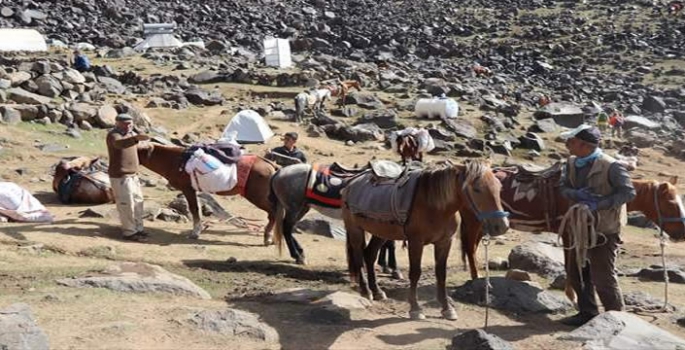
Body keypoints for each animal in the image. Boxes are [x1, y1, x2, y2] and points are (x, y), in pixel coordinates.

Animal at [136, 141, 278, 242]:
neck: (174, 161)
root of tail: (270, 165)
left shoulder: (188, 189)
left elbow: (194, 209)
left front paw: (195, 233)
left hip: (257, 197)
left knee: (273, 213)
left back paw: (268, 237)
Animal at [342, 160, 508, 322]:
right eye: (476, 189)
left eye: (499, 187)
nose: (502, 226)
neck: (435, 206)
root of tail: (350, 183)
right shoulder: (416, 242)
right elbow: (415, 273)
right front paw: (415, 309)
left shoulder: (444, 242)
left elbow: (441, 274)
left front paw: (447, 308)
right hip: (355, 230)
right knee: (359, 257)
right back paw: (366, 291)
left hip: (381, 233)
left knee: (369, 255)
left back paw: (377, 291)